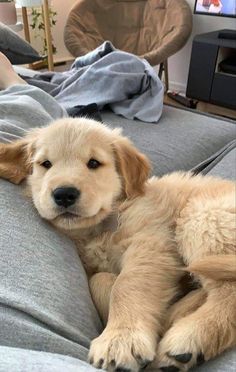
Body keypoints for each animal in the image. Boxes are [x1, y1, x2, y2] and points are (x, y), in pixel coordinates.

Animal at [0, 118, 235, 372]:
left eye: (94, 163)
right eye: (45, 164)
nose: (64, 194)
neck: (104, 223)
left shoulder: (151, 243)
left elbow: (127, 284)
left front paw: (121, 338)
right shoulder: (96, 265)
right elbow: (100, 280)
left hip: (204, 217)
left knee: (228, 291)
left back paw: (189, 337)